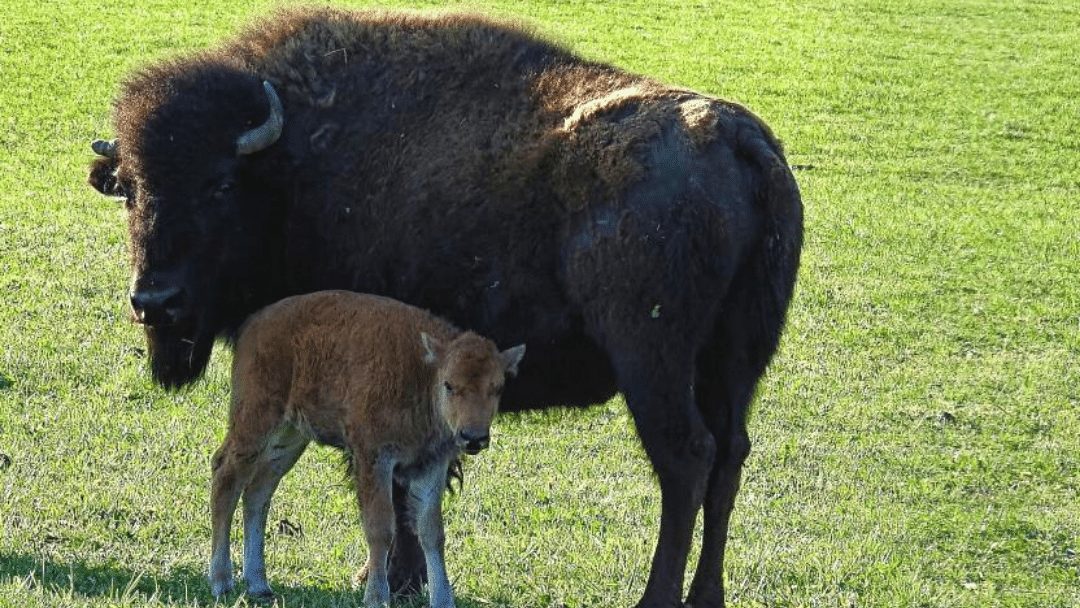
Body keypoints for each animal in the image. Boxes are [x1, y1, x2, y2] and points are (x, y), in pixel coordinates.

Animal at [88, 8, 802, 608]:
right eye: (129, 188)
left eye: (218, 185)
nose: (153, 302)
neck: (295, 165)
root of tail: (741, 141)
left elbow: (395, 494)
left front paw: (388, 578)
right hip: (735, 363)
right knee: (729, 457)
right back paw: (706, 596)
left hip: (654, 363)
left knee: (685, 459)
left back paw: (656, 597)